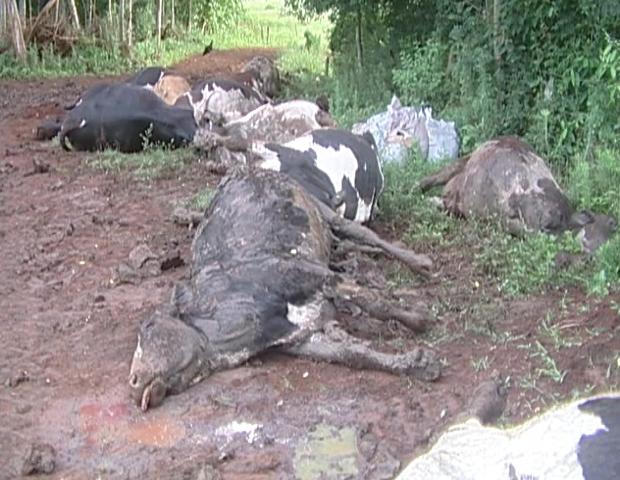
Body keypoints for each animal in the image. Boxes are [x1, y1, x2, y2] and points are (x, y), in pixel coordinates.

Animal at [126, 167, 436, 410]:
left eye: (149, 326)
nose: (134, 382)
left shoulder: (307, 274)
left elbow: (374, 302)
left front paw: (419, 318)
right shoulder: (300, 339)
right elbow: (353, 354)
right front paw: (415, 363)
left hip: (319, 207)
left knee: (360, 231)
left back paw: (421, 262)